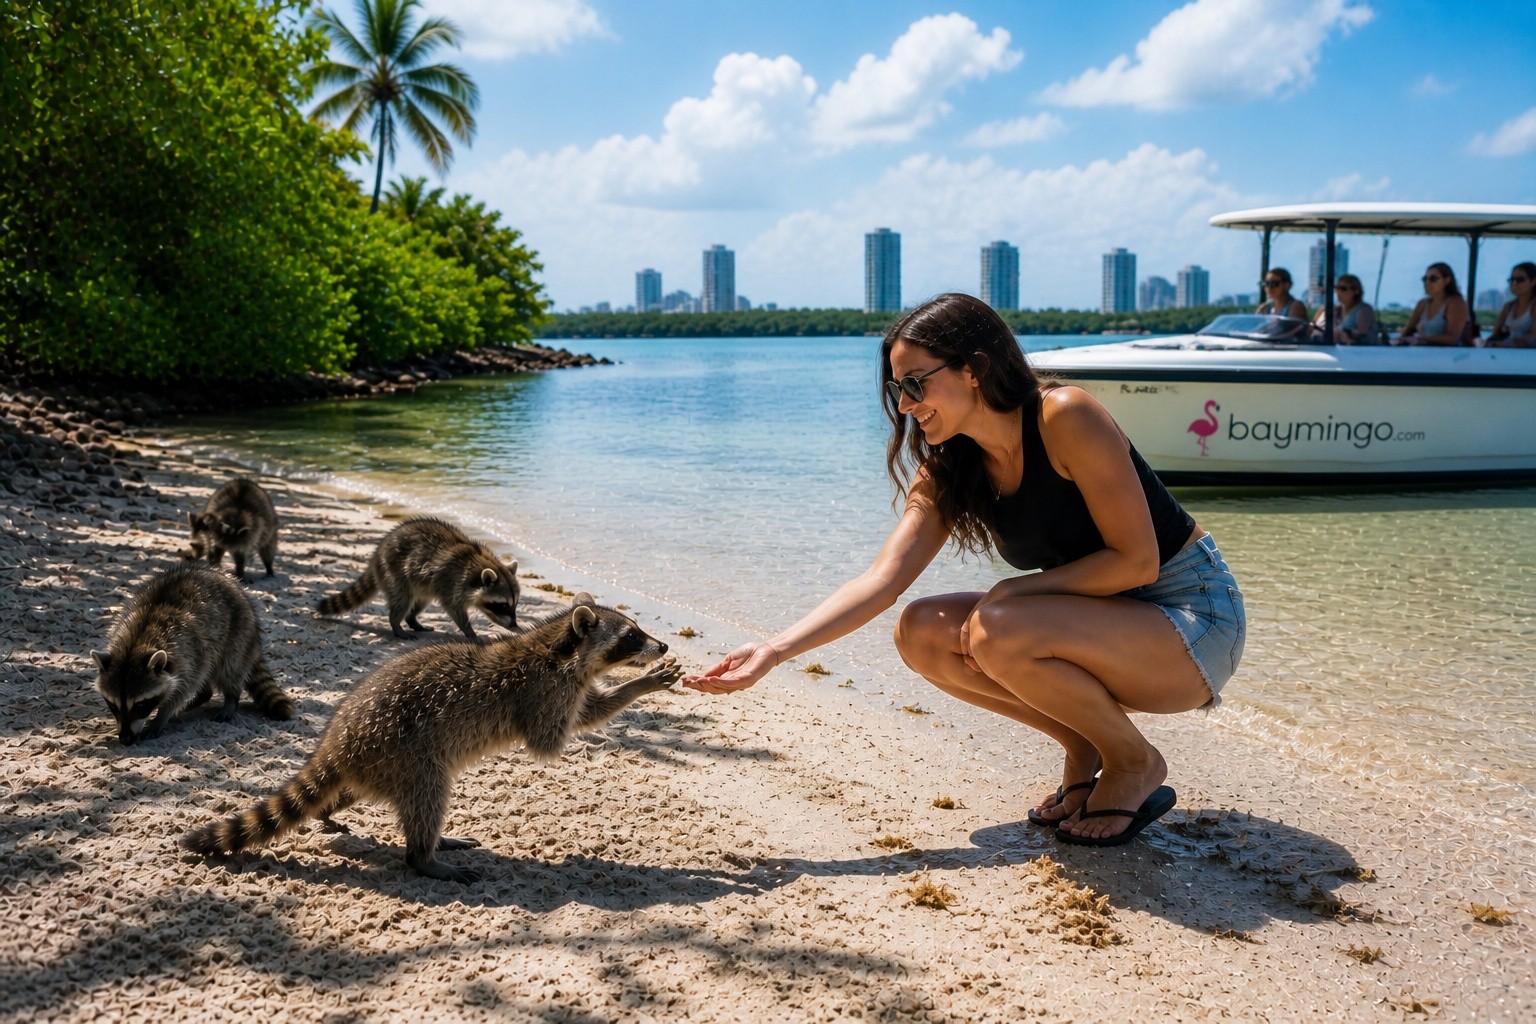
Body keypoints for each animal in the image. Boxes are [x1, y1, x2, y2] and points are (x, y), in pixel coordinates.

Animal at [93, 564, 294, 746]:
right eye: (113, 705)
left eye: (140, 705)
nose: (126, 739)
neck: (135, 645)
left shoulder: (188, 651)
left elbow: (184, 687)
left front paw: (162, 715)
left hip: (238, 632)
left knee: (230, 667)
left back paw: (231, 698)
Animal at [183, 594, 679, 882]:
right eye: (632, 635)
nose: (663, 646)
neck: (558, 646)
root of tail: (336, 741)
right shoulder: (542, 693)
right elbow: (552, 739)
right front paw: (638, 685)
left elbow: (589, 709)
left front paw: (638, 685)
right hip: (404, 752)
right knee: (428, 795)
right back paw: (425, 856)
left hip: (376, 764)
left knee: (352, 793)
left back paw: (339, 813)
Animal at [316, 517, 519, 639]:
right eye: (503, 605)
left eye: (515, 604)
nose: (515, 625)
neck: (480, 563)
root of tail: (377, 554)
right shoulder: (452, 581)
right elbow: (453, 608)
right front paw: (469, 631)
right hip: (395, 571)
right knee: (402, 600)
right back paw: (396, 623)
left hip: (422, 585)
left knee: (420, 601)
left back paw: (412, 620)